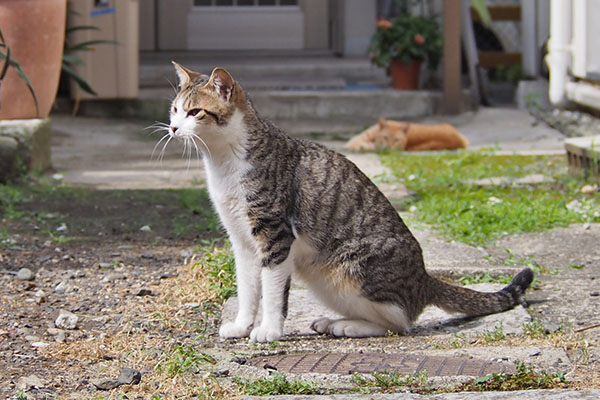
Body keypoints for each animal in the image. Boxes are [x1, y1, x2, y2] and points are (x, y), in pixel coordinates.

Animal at [165, 63, 536, 344]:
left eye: (195, 112)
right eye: (175, 109)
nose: (172, 128)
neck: (224, 162)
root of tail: (424, 278)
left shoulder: (275, 235)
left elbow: (271, 291)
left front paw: (268, 330)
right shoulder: (242, 241)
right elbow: (247, 288)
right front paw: (242, 326)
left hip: (350, 270)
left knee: (400, 322)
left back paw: (347, 326)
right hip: (324, 279)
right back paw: (333, 322)